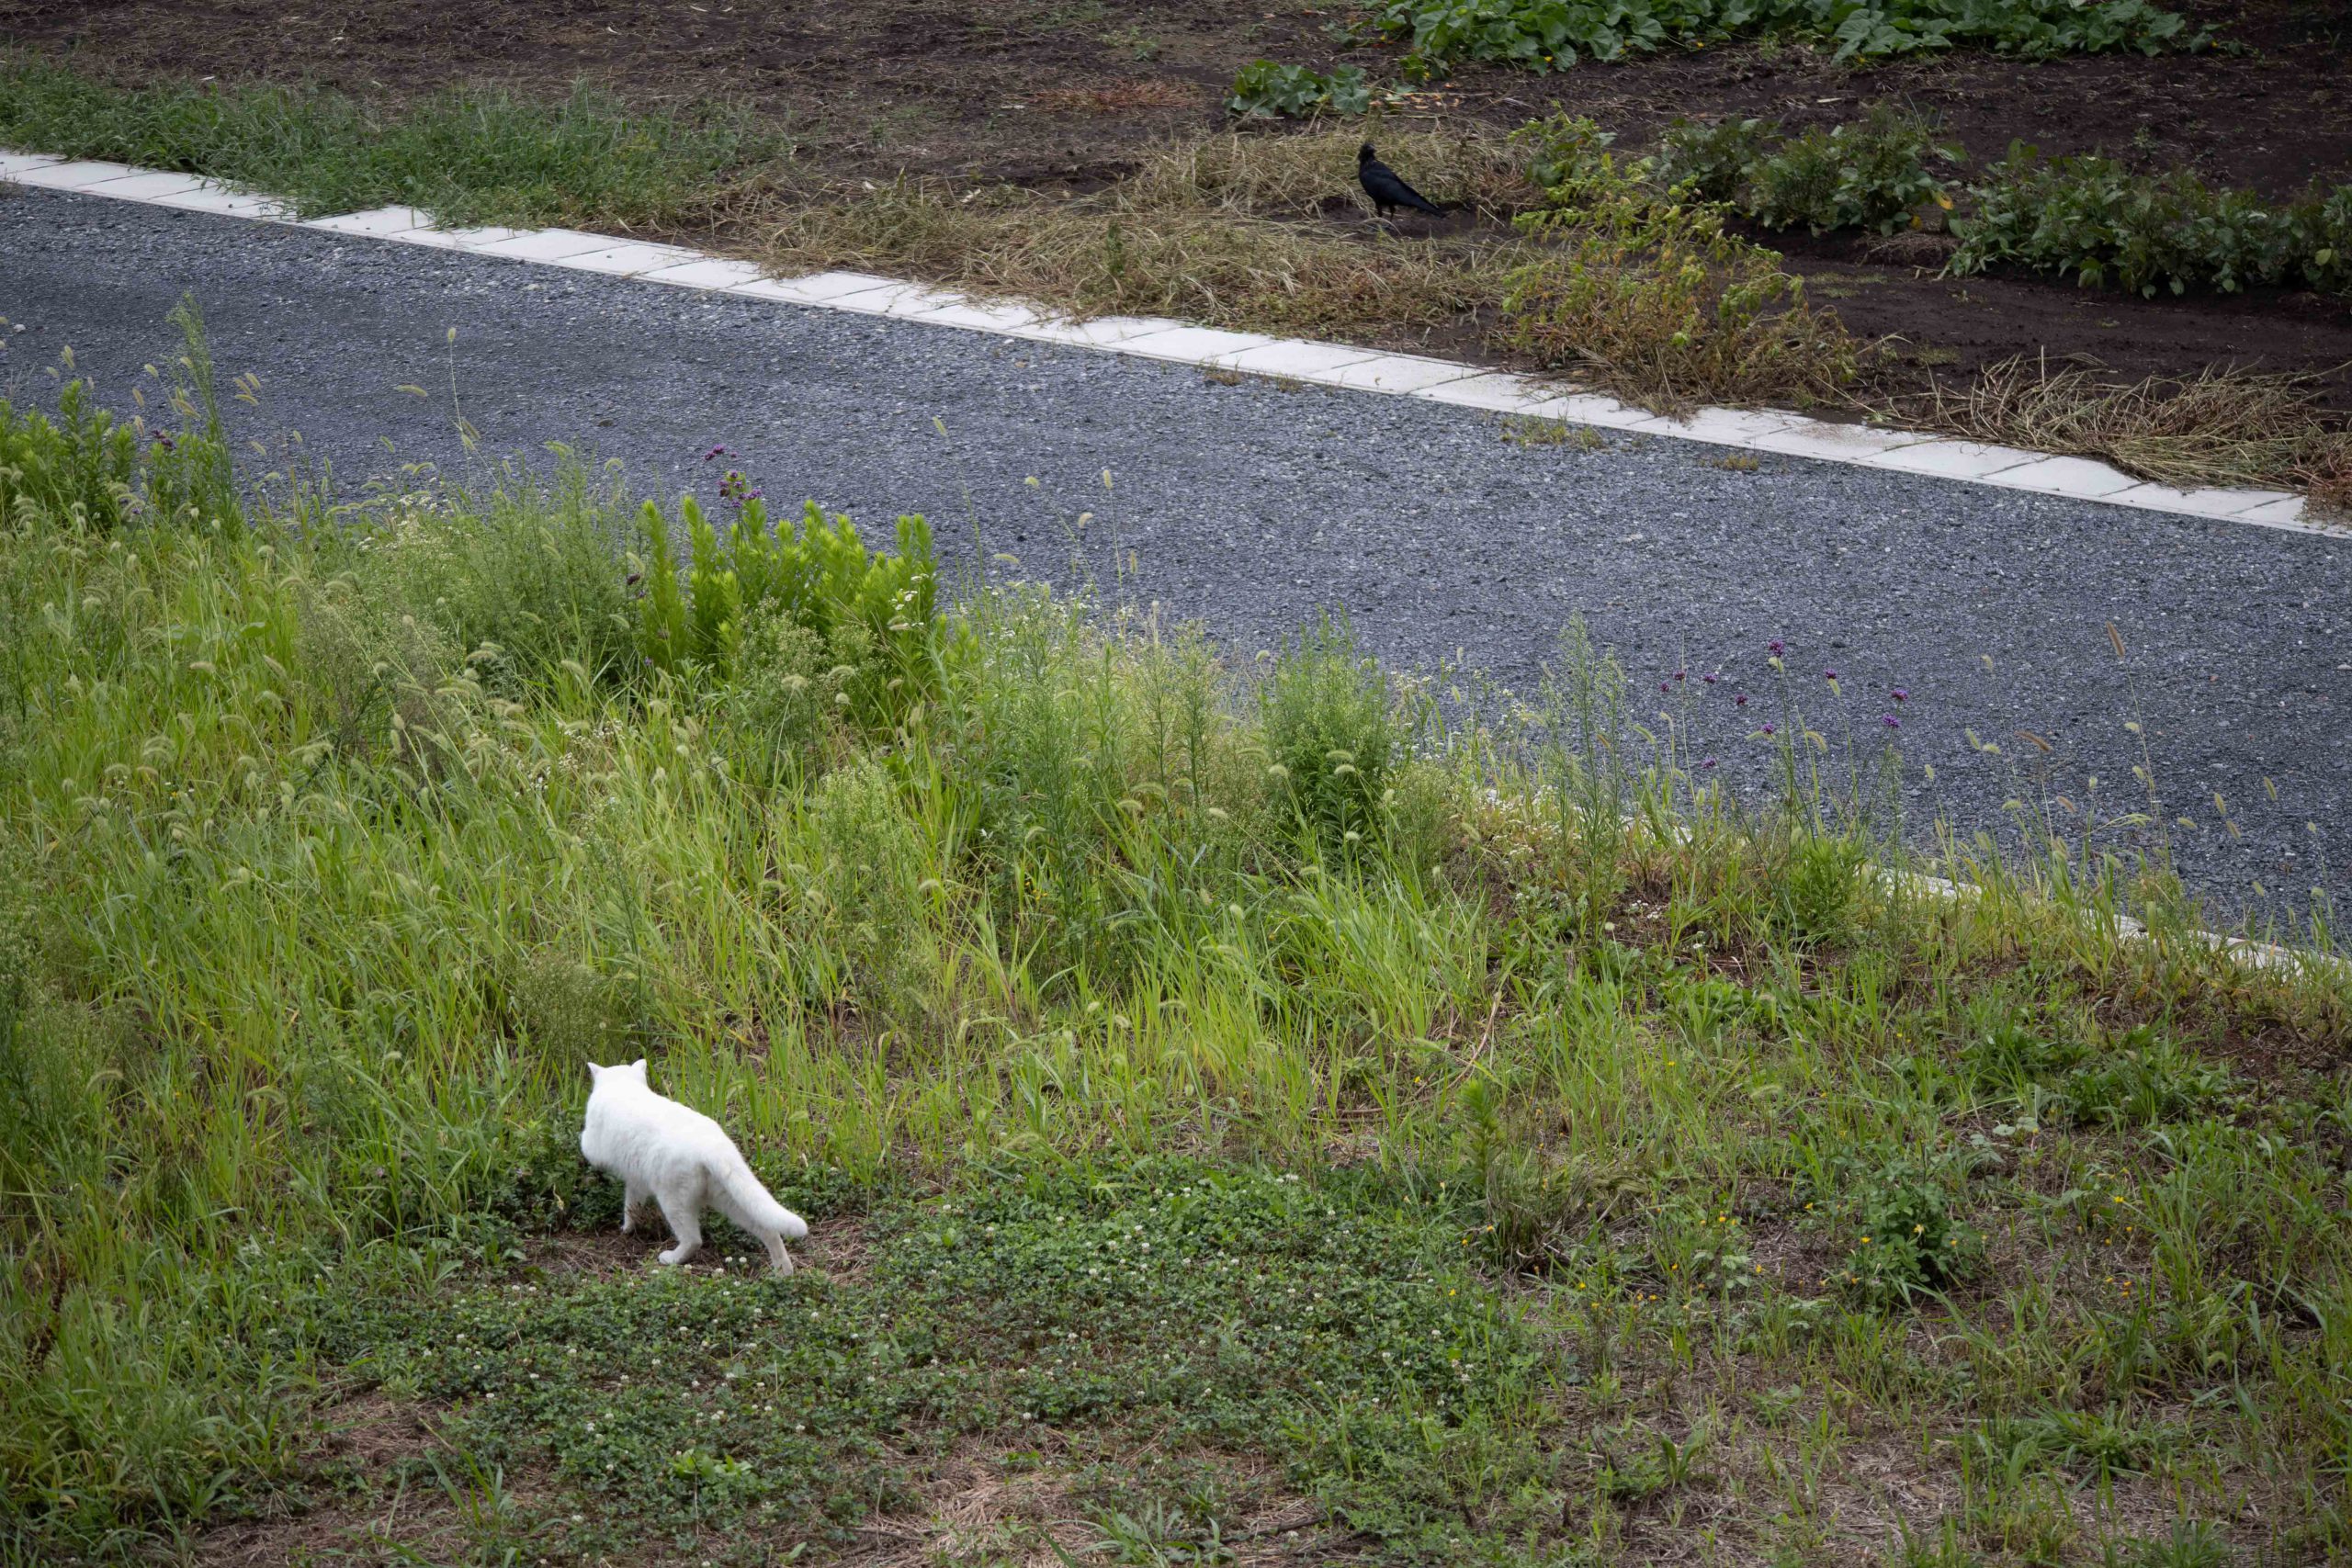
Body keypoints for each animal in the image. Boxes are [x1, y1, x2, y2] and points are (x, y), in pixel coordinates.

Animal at [578, 1053, 808, 1279]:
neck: (624, 1084)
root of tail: (715, 1147)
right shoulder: (636, 1180)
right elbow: (631, 1204)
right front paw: (628, 1227)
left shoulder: (592, 1145)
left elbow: (585, 1146)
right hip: (729, 1198)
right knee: (768, 1230)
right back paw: (783, 1271)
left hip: (674, 1200)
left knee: (693, 1239)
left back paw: (670, 1258)